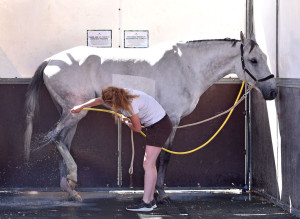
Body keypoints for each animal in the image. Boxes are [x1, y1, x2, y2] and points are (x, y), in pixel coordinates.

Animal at [24, 32, 278, 202]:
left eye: (265, 57)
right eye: (253, 60)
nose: (273, 92)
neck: (187, 67)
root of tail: (51, 61)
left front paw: (157, 190)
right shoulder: (173, 119)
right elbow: (164, 157)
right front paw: (162, 194)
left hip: (71, 114)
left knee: (63, 143)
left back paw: (70, 188)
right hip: (76, 112)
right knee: (55, 137)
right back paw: (73, 177)